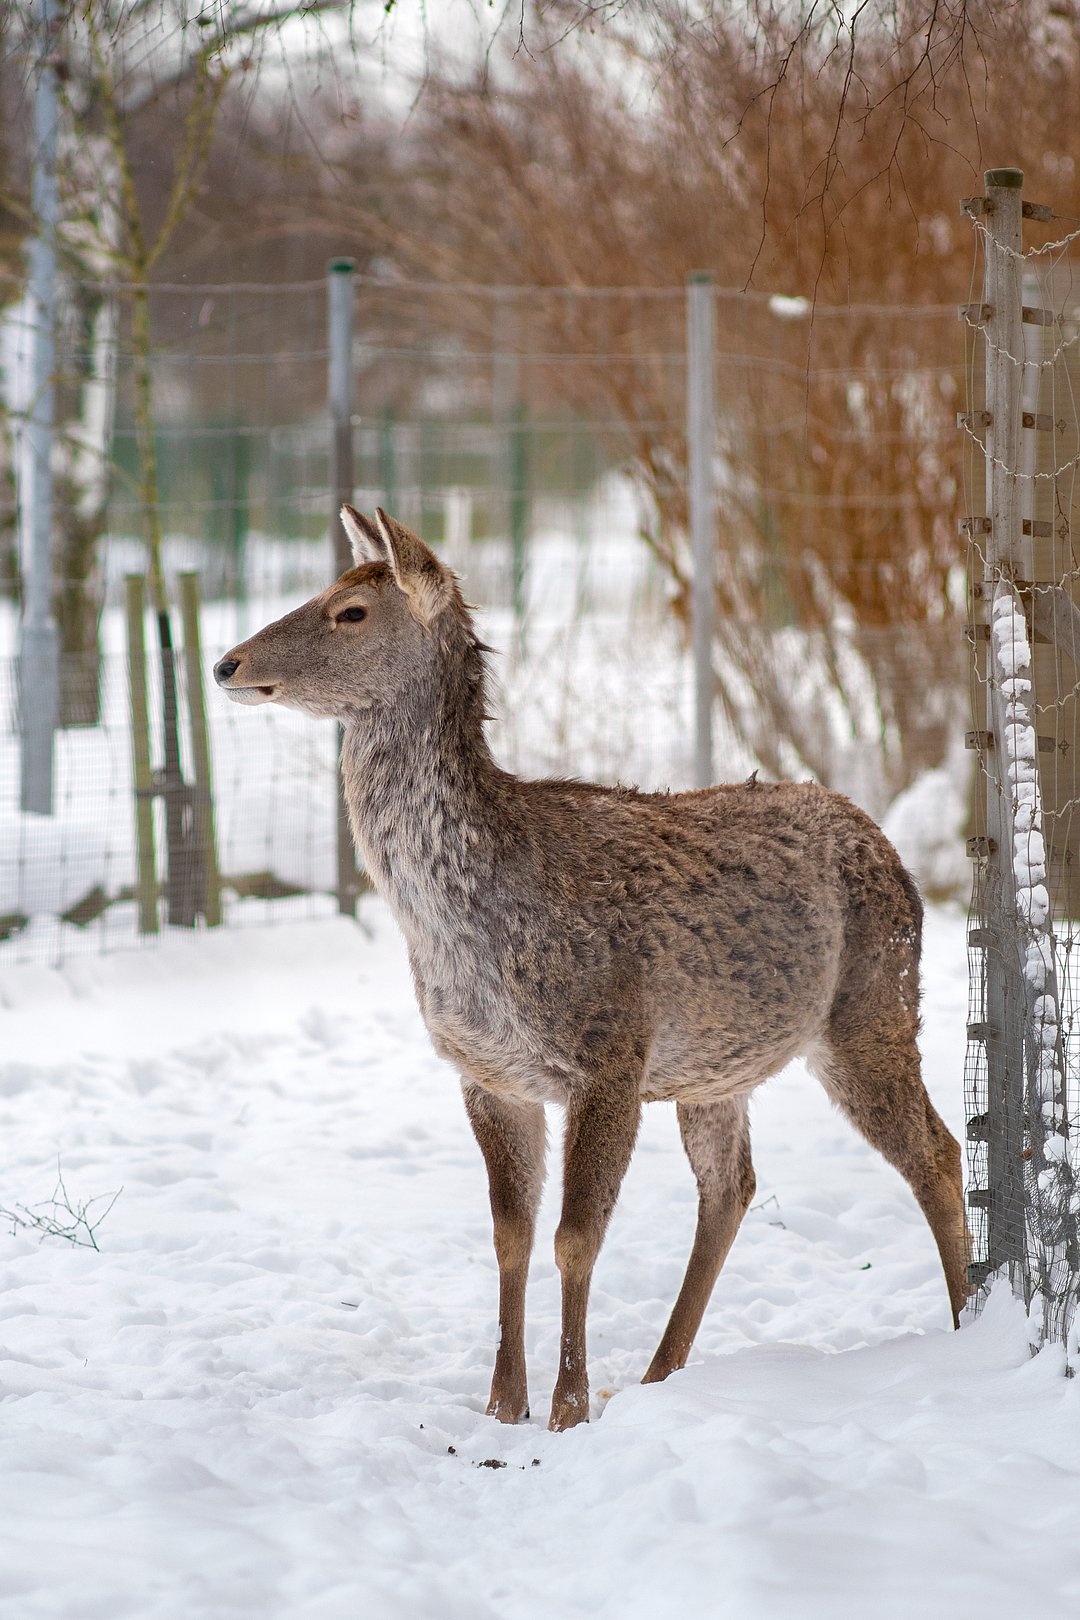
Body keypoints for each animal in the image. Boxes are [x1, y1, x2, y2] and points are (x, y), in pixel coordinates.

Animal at [214, 506, 970, 1432]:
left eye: (350, 612)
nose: (228, 663)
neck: (463, 935)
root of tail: (890, 848)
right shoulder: (488, 1074)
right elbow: (510, 1234)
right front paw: (502, 1403)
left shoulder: (609, 1053)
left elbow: (576, 1238)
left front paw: (566, 1408)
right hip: (716, 1065)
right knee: (732, 1186)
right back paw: (661, 1373)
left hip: (874, 1006)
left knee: (936, 1152)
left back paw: (968, 1321)